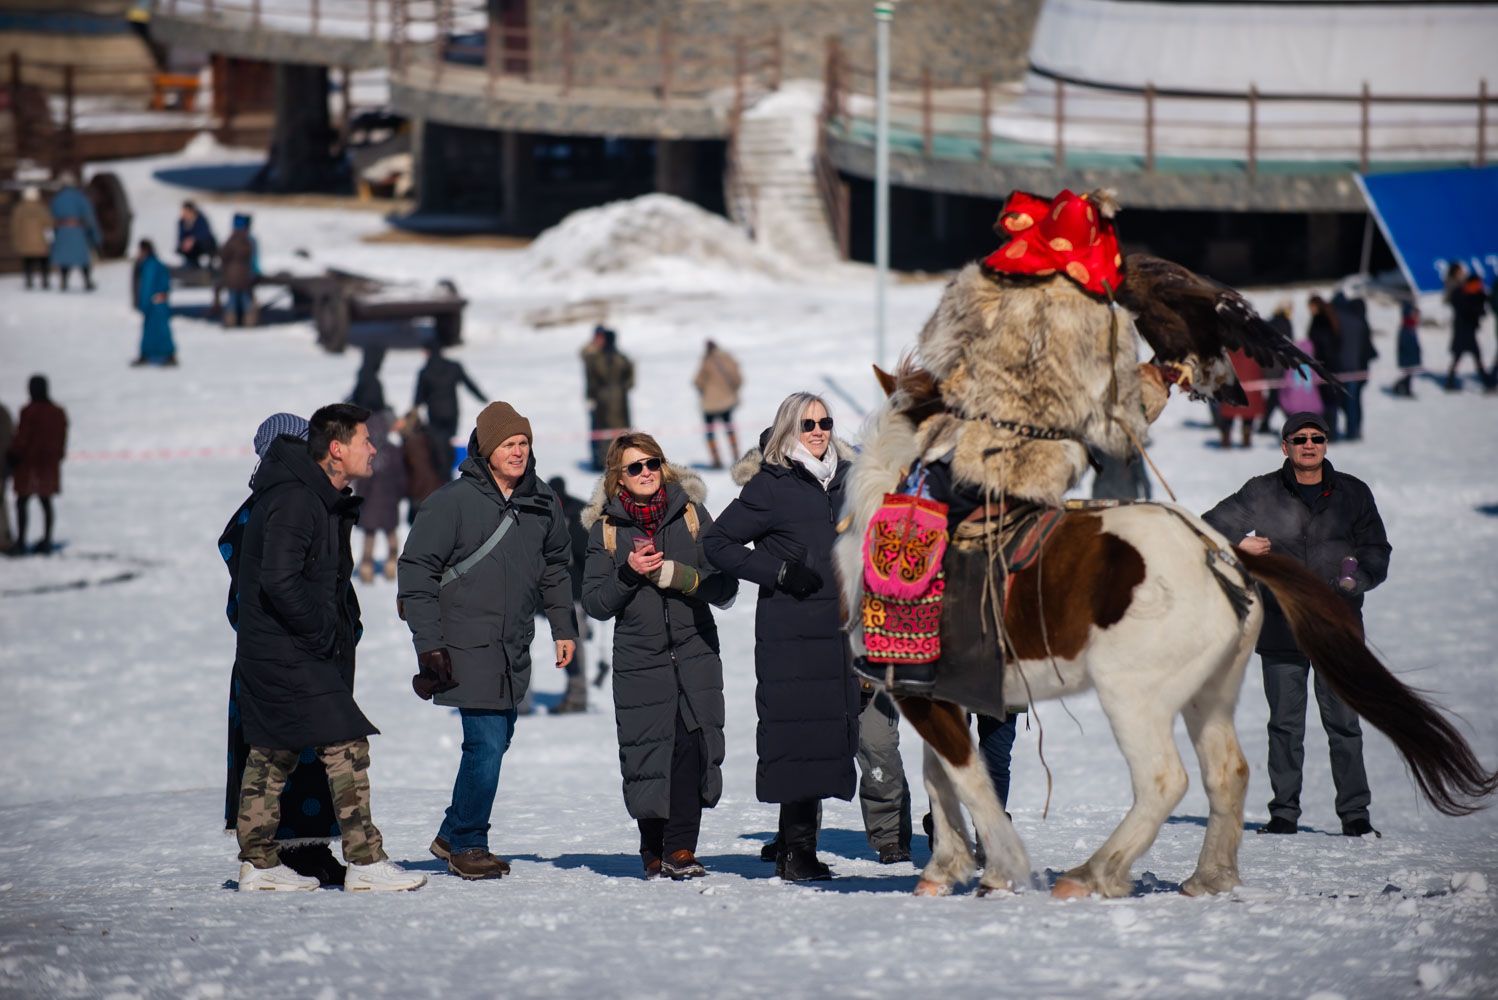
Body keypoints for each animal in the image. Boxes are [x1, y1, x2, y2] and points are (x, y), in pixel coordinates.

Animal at [836, 363, 1498, 899]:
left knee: (1163, 779)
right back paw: (1208, 878)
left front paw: (1001, 869)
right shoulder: (932, 695)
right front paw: (949, 868)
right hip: (1210, 693)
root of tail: (1219, 553)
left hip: (1134, 697)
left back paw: (1093, 874)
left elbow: (967, 780)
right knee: (1227, 774)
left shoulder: (927, 695)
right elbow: (941, 779)